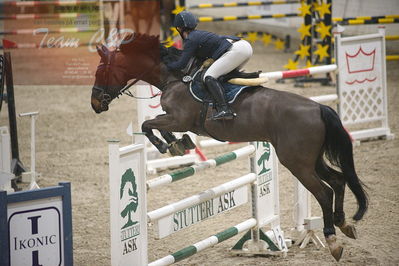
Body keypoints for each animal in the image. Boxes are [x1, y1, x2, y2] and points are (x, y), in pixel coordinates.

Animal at [90, 33, 368, 262]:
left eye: (101, 72)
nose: (95, 103)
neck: (175, 78)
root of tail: (318, 107)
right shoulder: (176, 120)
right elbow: (157, 127)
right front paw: (179, 144)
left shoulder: (179, 118)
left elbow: (148, 125)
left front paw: (166, 145)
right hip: (312, 160)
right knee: (339, 180)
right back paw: (345, 225)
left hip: (297, 163)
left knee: (325, 192)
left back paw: (333, 241)